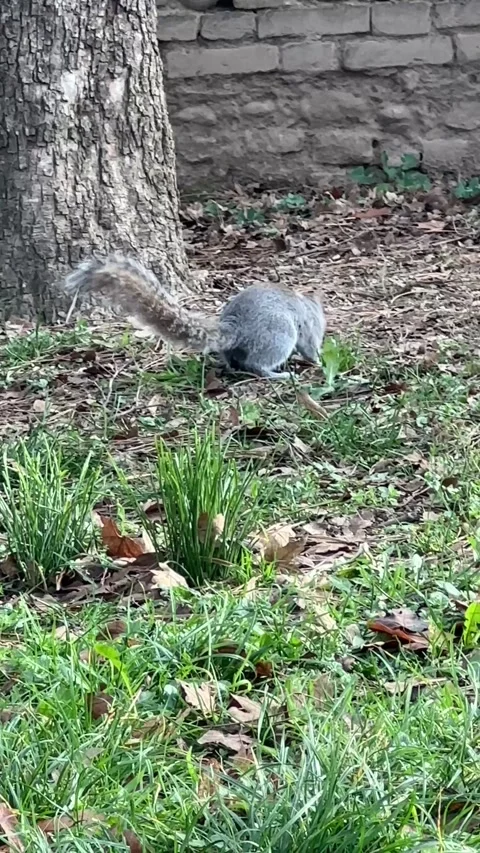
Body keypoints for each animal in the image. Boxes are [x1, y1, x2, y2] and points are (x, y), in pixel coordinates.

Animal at [64, 255, 326, 380]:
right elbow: (309, 348)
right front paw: (319, 360)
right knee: (257, 365)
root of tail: (234, 328)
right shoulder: (307, 330)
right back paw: (278, 374)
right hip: (279, 335)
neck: (307, 304)